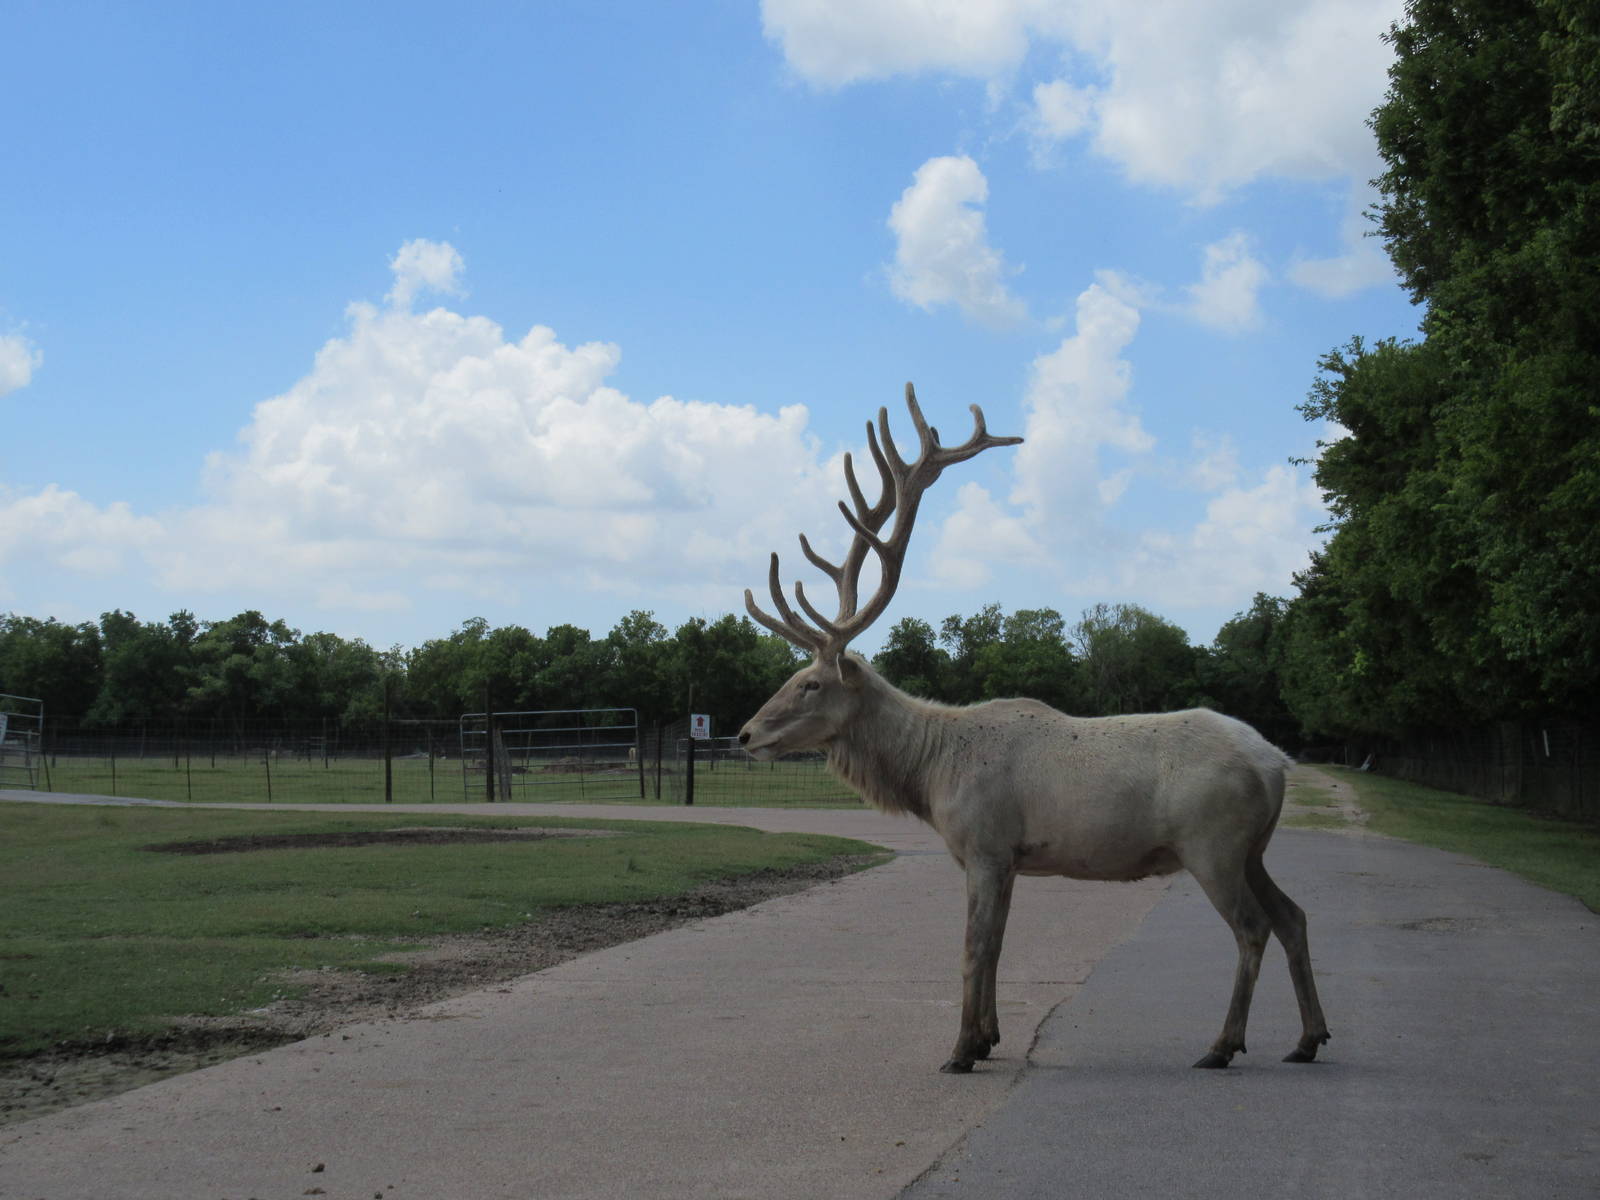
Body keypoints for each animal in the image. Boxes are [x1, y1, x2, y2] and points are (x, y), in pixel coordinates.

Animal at [738, 384, 1330, 1074]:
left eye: (811, 683)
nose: (745, 734)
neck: (933, 775)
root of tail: (1277, 764)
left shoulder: (986, 843)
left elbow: (974, 948)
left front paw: (960, 1051)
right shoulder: (1012, 857)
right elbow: (997, 946)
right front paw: (989, 1038)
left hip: (1213, 842)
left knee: (1253, 927)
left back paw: (1223, 1045)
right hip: (1252, 847)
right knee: (1294, 916)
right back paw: (1308, 1038)